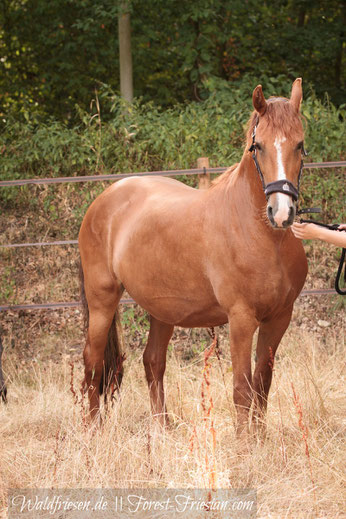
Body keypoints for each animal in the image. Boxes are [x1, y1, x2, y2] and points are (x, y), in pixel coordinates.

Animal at [79, 79, 308, 438]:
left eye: (299, 145)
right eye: (257, 147)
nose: (281, 212)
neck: (261, 235)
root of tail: (106, 198)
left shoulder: (279, 318)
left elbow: (262, 382)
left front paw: (260, 440)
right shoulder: (241, 318)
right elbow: (242, 387)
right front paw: (244, 445)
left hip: (162, 310)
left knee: (153, 361)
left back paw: (162, 430)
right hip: (102, 299)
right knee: (94, 360)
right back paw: (93, 430)